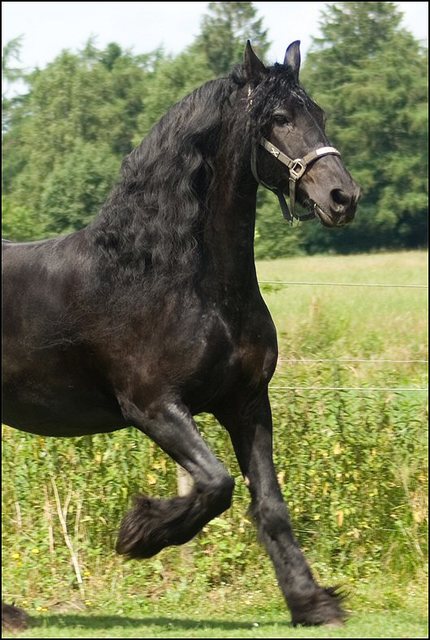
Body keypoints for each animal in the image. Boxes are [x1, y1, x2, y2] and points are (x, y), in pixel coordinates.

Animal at [2, 42, 360, 628]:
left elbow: (270, 505)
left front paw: (312, 604)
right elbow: (216, 485)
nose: (342, 197)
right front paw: (141, 532)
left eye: (320, 114)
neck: (167, 273)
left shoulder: (246, 403)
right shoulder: (155, 408)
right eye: (278, 118)